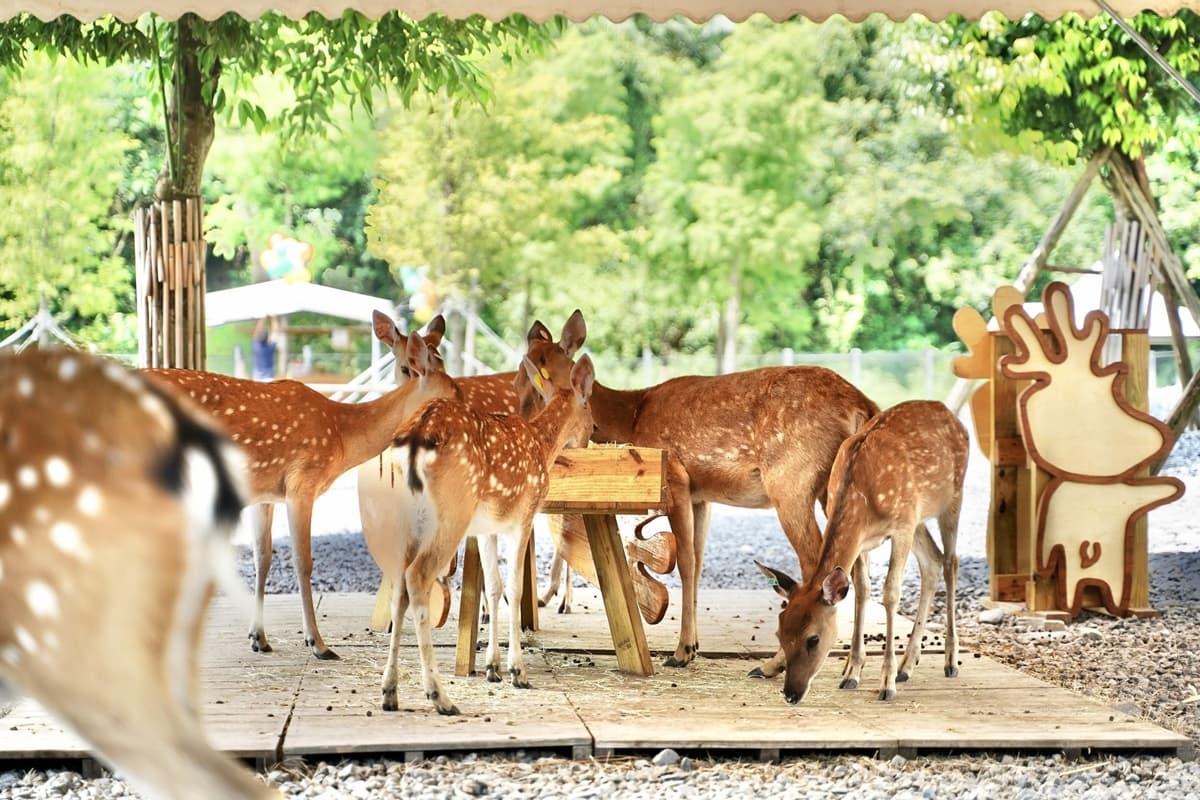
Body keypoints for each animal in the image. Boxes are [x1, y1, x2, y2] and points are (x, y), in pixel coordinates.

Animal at [144, 312, 455, 660]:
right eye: (404, 367)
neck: (342, 436)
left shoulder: (263, 494)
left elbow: (262, 557)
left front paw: (258, 638)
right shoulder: (302, 484)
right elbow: (303, 561)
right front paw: (317, 643)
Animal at [380, 354, 595, 715]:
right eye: (590, 412)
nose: (592, 437)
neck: (542, 444)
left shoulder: (485, 529)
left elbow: (493, 587)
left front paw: (493, 668)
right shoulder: (523, 517)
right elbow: (514, 588)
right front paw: (517, 671)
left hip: (406, 518)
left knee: (399, 584)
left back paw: (390, 692)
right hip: (452, 511)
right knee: (418, 576)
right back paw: (440, 696)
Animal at [514, 310, 879, 674]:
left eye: (534, 376)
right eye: (519, 378)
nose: (522, 423)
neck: (633, 416)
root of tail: (863, 405)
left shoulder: (676, 479)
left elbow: (686, 563)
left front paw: (682, 651)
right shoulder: (701, 495)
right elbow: (699, 561)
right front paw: (694, 646)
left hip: (792, 481)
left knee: (818, 565)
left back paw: (773, 665)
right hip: (836, 489)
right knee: (859, 571)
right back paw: (852, 667)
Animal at [756, 400, 968, 704]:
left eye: (813, 639)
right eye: (779, 632)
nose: (791, 694)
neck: (862, 496)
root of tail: (949, 412)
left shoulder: (901, 526)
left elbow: (890, 592)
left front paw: (886, 684)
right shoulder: (865, 539)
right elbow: (862, 590)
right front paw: (852, 673)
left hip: (951, 499)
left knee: (951, 562)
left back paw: (950, 662)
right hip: (920, 516)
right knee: (933, 561)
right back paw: (907, 666)